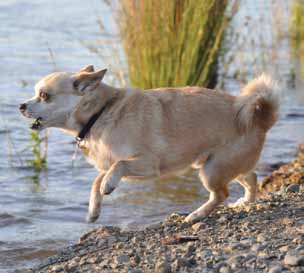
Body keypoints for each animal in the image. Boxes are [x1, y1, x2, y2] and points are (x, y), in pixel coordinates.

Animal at [19, 64, 280, 223]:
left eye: (44, 96)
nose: (21, 105)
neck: (100, 113)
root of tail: (261, 119)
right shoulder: (111, 164)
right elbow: (97, 180)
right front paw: (94, 209)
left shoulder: (146, 165)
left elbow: (118, 166)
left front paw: (108, 186)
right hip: (220, 165)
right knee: (251, 176)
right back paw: (245, 201)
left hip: (211, 170)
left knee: (221, 194)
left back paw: (196, 215)